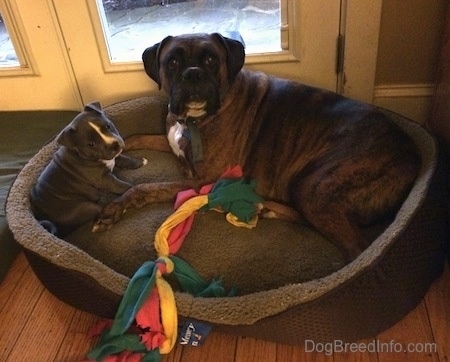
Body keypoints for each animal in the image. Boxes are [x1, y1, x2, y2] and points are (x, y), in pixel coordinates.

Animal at [29, 102, 146, 238]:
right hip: (85, 207)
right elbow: (122, 185)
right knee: (102, 209)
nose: (114, 145)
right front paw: (137, 192)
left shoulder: (114, 158)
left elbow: (124, 159)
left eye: (108, 126)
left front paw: (139, 162)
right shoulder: (105, 180)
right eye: (91, 144)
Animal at [95, 33, 422, 260]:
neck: (192, 121)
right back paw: (265, 209)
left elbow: (146, 188)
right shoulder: (170, 139)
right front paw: (114, 148)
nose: (193, 73)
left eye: (211, 60)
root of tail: (412, 155)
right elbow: (138, 138)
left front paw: (115, 208)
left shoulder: (205, 179)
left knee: (356, 248)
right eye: (172, 62)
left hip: (314, 186)